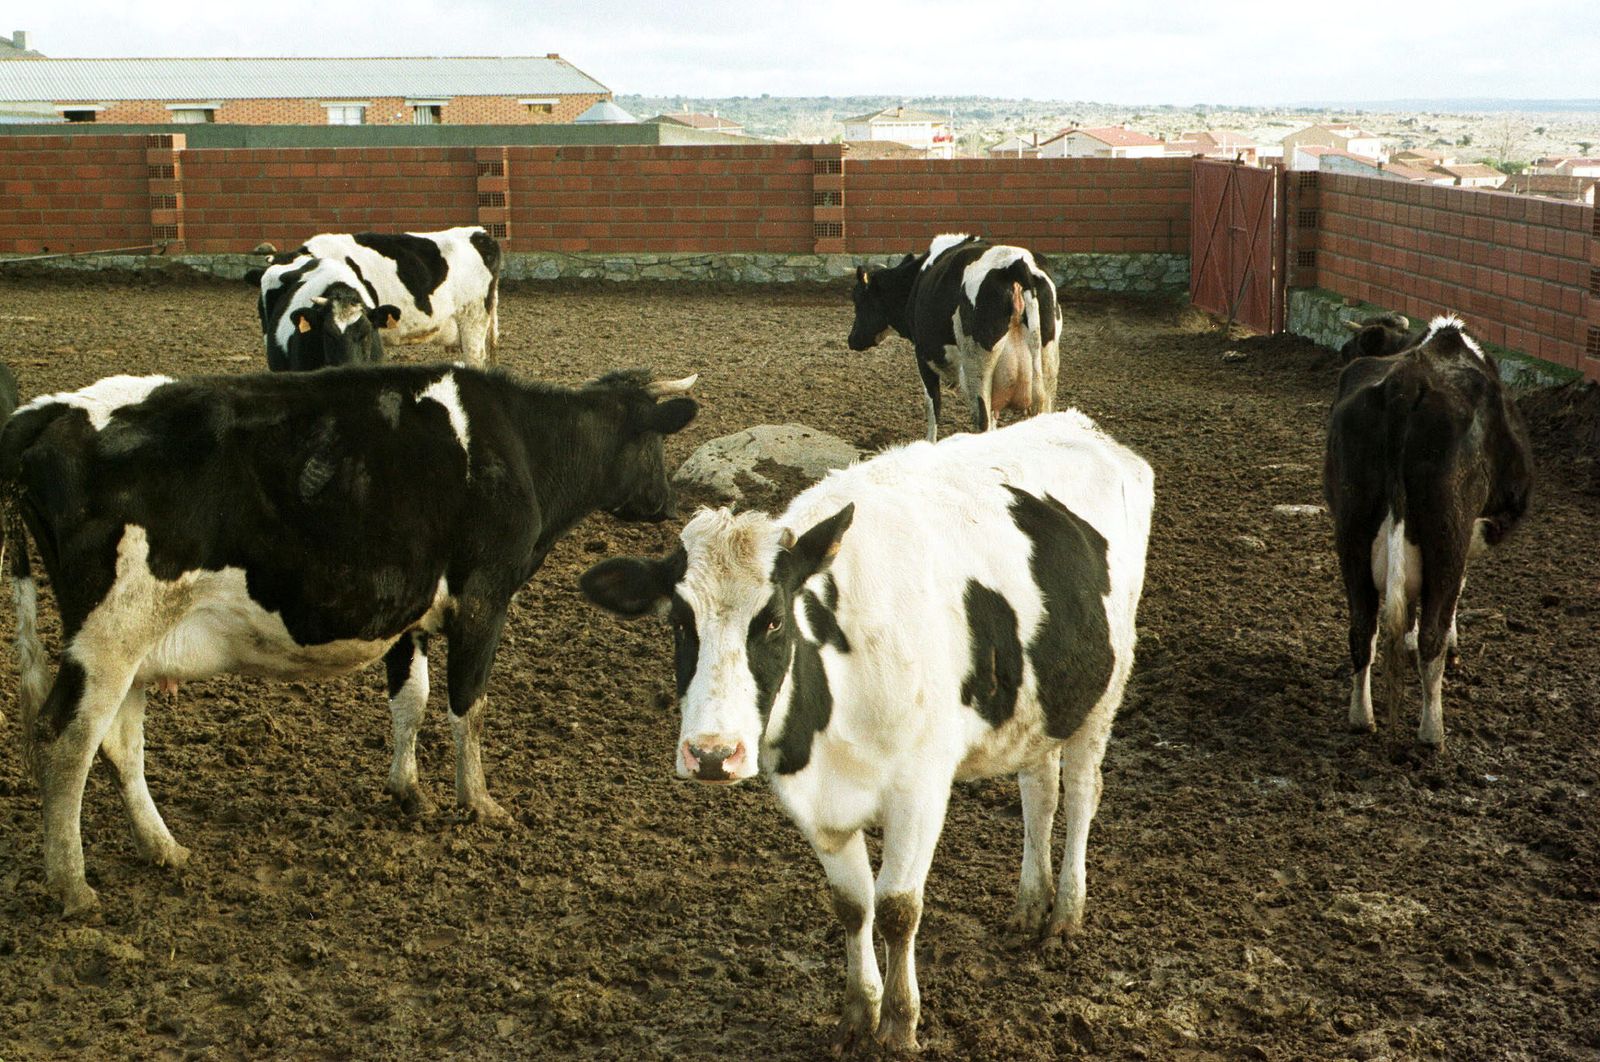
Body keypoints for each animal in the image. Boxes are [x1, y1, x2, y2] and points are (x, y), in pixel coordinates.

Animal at [1, 364, 698, 915]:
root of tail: (50, 409)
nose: (668, 505)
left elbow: (411, 700)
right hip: (109, 636)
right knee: (65, 739)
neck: (522, 446)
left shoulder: (408, 614)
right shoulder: (484, 600)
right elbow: (467, 707)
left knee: (119, 744)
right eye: (657, 447)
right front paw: (479, 804)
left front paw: (408, 792)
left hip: (134, 646)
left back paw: (163, 847)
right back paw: (73, 886)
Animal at [580, 411, 1154, 1051]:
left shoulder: (922, 788)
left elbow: (898, 906)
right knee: (1040, 793)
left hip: (1103, 690)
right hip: (1041, 705)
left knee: (1079, 795)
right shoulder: (814, 803)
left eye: (773, 620)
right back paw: (1031, 904)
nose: (711, 754)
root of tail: (1079, 425)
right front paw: (858, 1013)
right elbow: (853, 905)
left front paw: (901, 1023)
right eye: (680, 623)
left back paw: (1065, 916)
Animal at [848, 233, 1062, 442]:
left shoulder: (923, 356)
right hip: (1047, 370)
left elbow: (933, 405)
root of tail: (1014, 264)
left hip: (977, 371)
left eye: (857, 299)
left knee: (983, 421)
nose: (851, 339)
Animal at [1324, 314, 1533, 747]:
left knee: (1363, 628)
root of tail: (1407, 383)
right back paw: (1432, 730)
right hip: (1447, 533)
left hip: (1351, 530)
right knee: (1431, 636)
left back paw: (1361, 717)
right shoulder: (1476, 530)